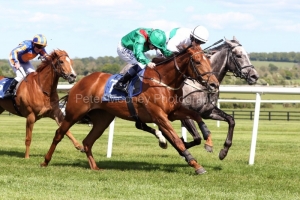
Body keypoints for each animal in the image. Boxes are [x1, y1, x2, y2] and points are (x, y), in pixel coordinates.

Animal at [40, 45, 218, 173]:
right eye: (197, 61)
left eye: (209, 61)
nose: (214, 84)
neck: (163, 81)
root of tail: (79, 82)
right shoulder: (160, 116)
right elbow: (176, 140)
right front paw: (196, 165)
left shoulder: (173, 112)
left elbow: (197, 116)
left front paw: (209, 142)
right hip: (74, 114)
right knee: (59, 134)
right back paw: (45, 161)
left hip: (103, 119)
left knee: (88, 141)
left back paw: (95, 167)